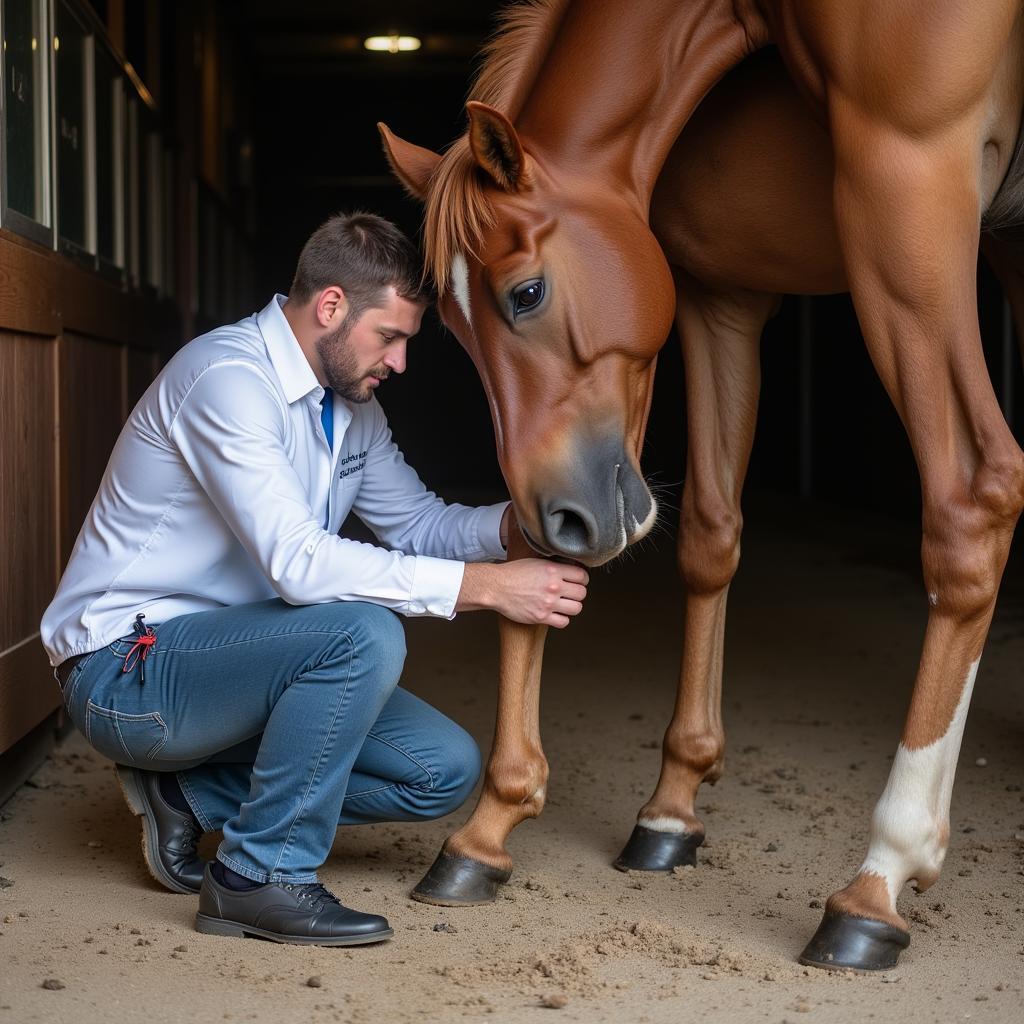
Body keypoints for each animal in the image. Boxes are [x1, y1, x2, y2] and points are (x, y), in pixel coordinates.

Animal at [376, 0, 1024, 970]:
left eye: (525, 293)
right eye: (450, 326)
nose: (568, 517)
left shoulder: (905, 174)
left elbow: (968, 498)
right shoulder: (714, 293)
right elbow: (702, 534)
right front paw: (612, 813)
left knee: (972, 498)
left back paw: (877, 879)